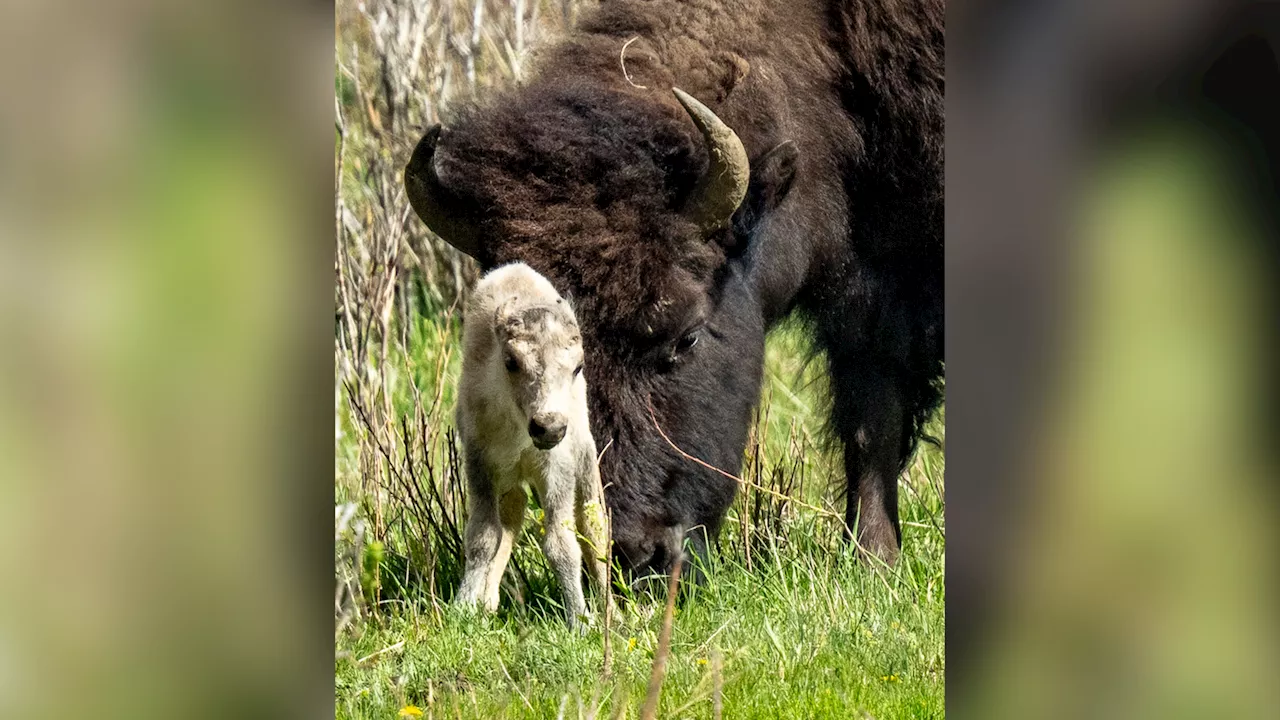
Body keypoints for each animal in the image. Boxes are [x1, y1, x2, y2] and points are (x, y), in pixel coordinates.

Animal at [404, 0, 947, 571]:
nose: (636, 553)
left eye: (687, 336)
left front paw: (873, 559)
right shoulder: (870, 300)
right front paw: (874, 559)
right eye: (512, 359)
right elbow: (870, 420)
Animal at [458, 260, 611, 625]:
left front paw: (580, 619)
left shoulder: (557, 469)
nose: (549, 427)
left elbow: (562, 542)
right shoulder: (480, 463)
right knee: (512, 514)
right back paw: (488, 601)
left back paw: (613, 609)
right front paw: (465, 606)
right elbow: (485, 535)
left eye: (578, 366)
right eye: (511, 362)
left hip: (586, 459)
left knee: (594, 527)